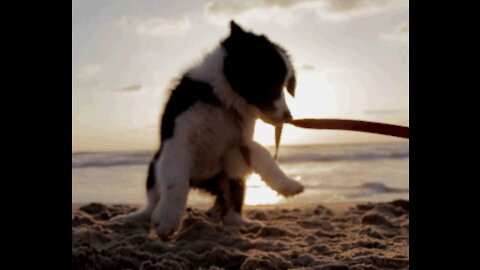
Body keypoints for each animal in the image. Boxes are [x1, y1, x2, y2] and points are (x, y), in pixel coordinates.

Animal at [111, 20, 304, 238]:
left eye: (286, 85)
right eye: (270, 82)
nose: (289, 117)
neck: (222, 100)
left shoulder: (238, 144)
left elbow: (262, 152)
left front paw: (287, 184)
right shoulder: (178, 140)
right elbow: (175, 182)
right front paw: (168, 220)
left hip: (227, 177)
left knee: (231, 206)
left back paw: (242, 223)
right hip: (155, 165)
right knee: (152, 203)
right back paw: (133, 217)